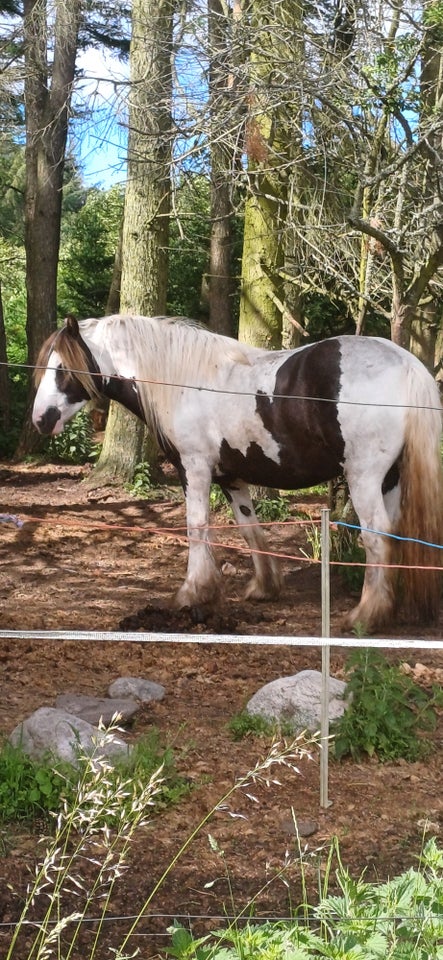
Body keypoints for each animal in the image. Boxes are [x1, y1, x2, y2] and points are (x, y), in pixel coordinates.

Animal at [32, 312, 443, 632]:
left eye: (62, 368)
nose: (40, 419)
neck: (183, 382)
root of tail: (406, 363)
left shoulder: (194, 469)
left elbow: (197, 527)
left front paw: (192, 592)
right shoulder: (231, 479)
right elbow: (249, 529)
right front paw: (264, 587)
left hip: (363, 478)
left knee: (377, 536)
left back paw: (366, 615)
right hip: (390, 480)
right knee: (396, 535)